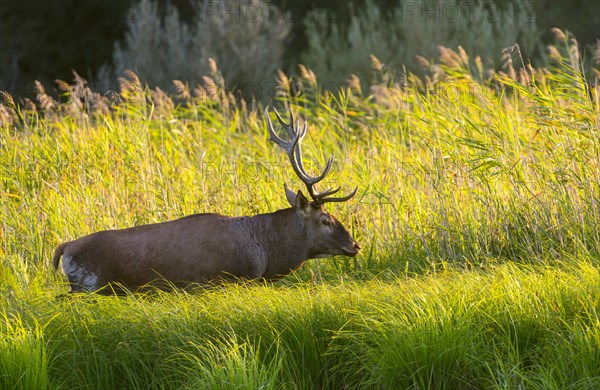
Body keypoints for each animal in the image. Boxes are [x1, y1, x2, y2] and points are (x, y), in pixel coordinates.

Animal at [51, 108, 358, 294]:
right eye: (326, 220)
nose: (355, 245)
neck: (264, 253)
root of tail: (65, 247)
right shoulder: (217, 282)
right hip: (90, 286)